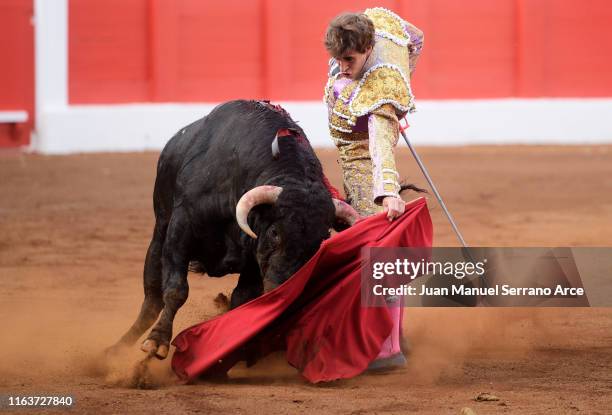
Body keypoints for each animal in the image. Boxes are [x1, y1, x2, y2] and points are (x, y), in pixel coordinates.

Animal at [110, 99, 358, 360]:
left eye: (319, 242)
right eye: (275, 233)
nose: (285, 291)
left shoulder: (253, 260)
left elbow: (241, 301)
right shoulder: (182, 226)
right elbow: (176, 290)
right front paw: (157, 342)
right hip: (160, 230)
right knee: (152, 300)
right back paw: (115, 353)